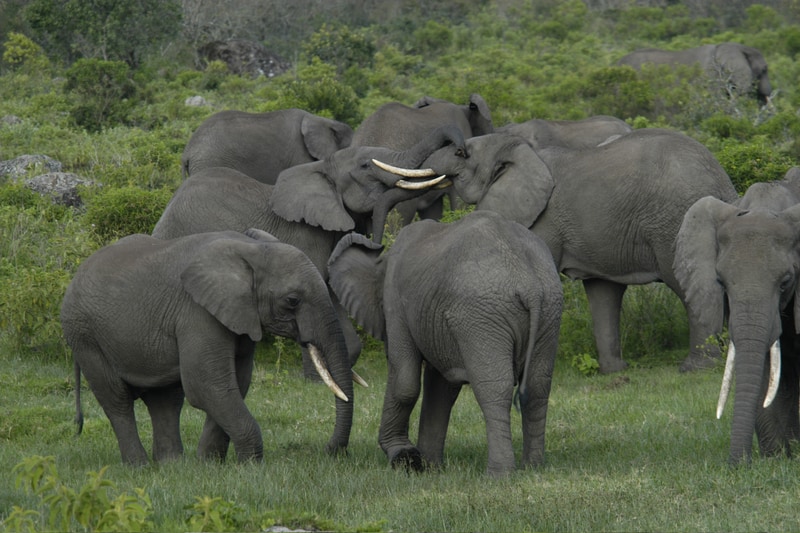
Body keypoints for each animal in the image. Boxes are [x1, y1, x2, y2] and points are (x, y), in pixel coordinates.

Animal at [61, 229, 354, 466]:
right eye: (292, 300)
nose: (329, 451)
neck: (251, 248)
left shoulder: (239, 316)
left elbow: (234, 384)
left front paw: (209, 466)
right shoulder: (196, 313)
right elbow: (209, 386)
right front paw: (250, 466)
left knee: (164, 399)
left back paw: (172, 465)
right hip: (84, 335)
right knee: (117, 400)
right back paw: (139, 467)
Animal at [327, 211, 563, 476]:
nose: (334, 452)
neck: (381, 259)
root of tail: (528, 284)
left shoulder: (395, 302)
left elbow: (405, 381)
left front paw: (404, 458)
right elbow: (441, 388)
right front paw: (429, 466)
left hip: (482, 317)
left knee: (494, 388)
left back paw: (498, 475)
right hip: (549, 311)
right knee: (537, 388)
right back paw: (533, 468)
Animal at [418, 128, 739, 374]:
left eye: (462, 153)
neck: (520, 149)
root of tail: (722, 181)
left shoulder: (544, 221)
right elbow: (603, 293)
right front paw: (614, 372)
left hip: (673, 222)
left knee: (689, 285)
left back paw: (696, 368)